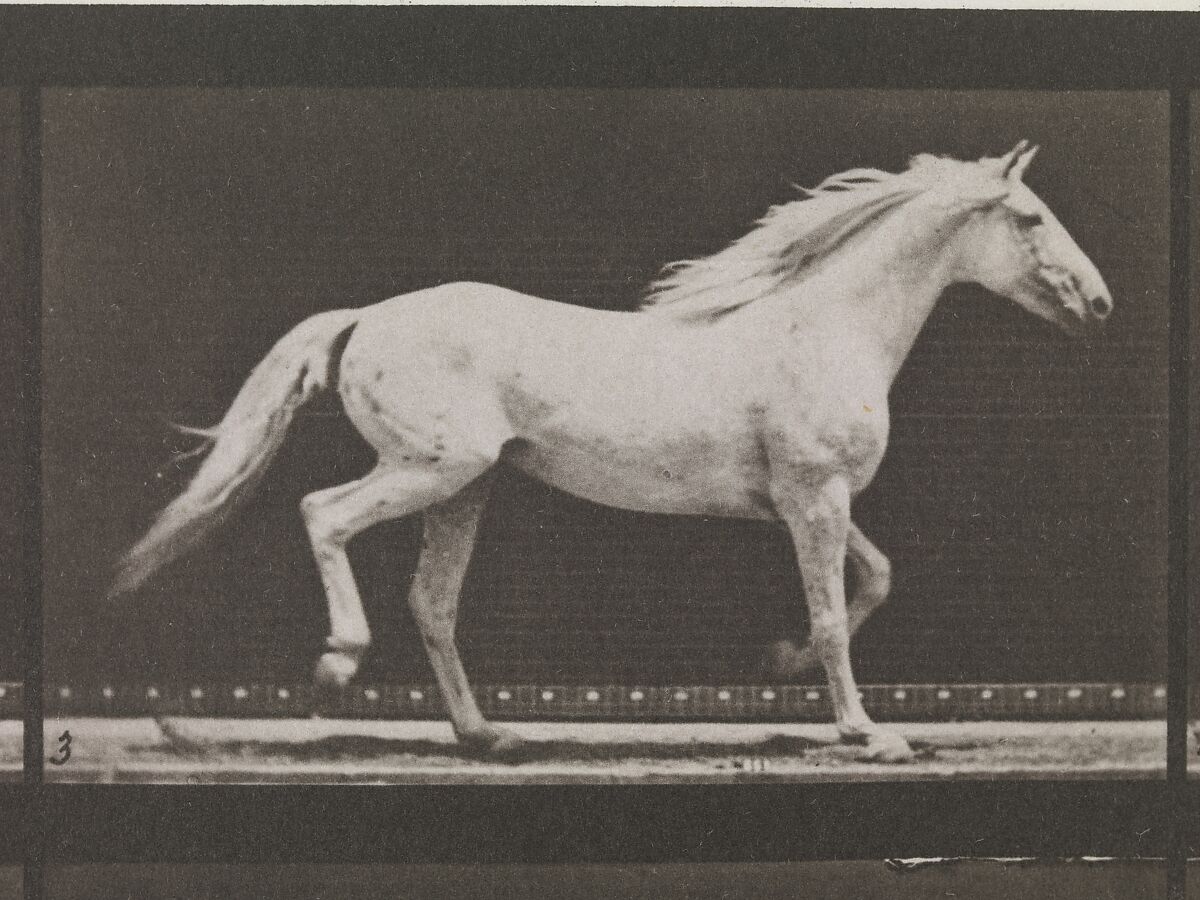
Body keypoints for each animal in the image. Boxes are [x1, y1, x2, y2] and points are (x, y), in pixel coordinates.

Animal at [109, 141, 1112, 762]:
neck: (822, 330)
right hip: (432, 468)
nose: (1098, 303)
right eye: (1028, 218)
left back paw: (486, 737)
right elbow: (834, 615)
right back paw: (339, 661)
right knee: (323, 515)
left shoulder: (803, 505)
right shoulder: (815, 499)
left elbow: (876, 581)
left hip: (460, 489)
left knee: (432, 603)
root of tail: (366, 318)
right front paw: (867, 734)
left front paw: (779, 665)